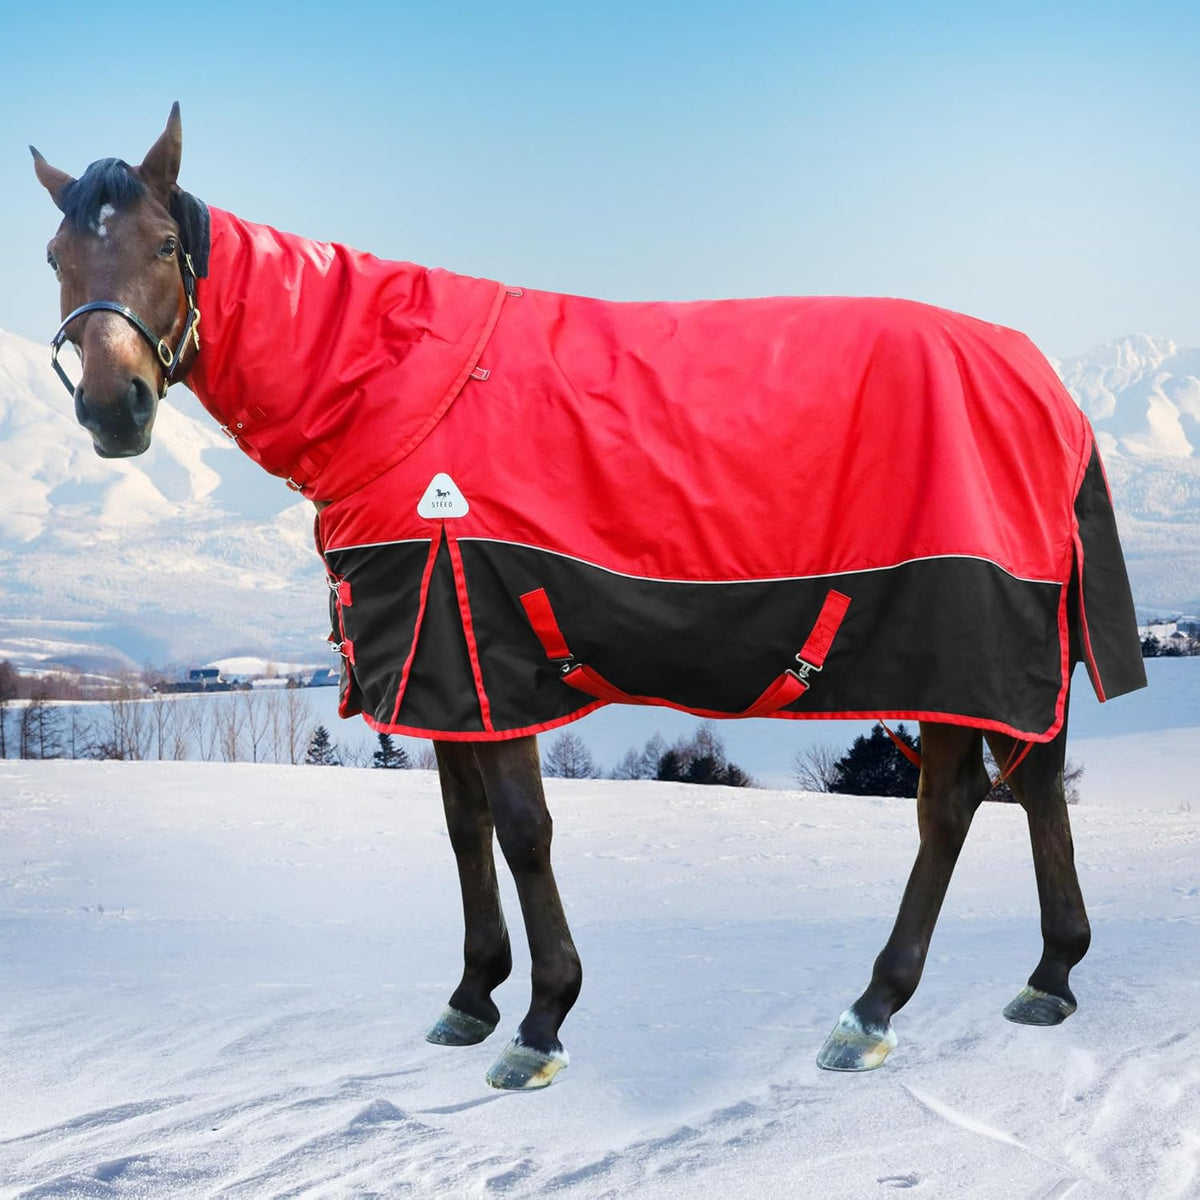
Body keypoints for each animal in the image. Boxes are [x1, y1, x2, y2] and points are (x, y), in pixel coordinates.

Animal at [31, 104, 1146, 1091]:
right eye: (53, 257)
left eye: (165, 243)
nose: (113, 408)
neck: (398, 384)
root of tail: (1052, 390)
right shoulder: (444, 671)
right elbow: (463, 825)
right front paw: (472, 996)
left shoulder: (487, 648)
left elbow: (523, 829)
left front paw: (541, 1021)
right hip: (1013, 657)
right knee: (1037, 785)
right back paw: (1051, 975)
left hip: (962, 642)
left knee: (949, 807)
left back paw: (874, 1008)